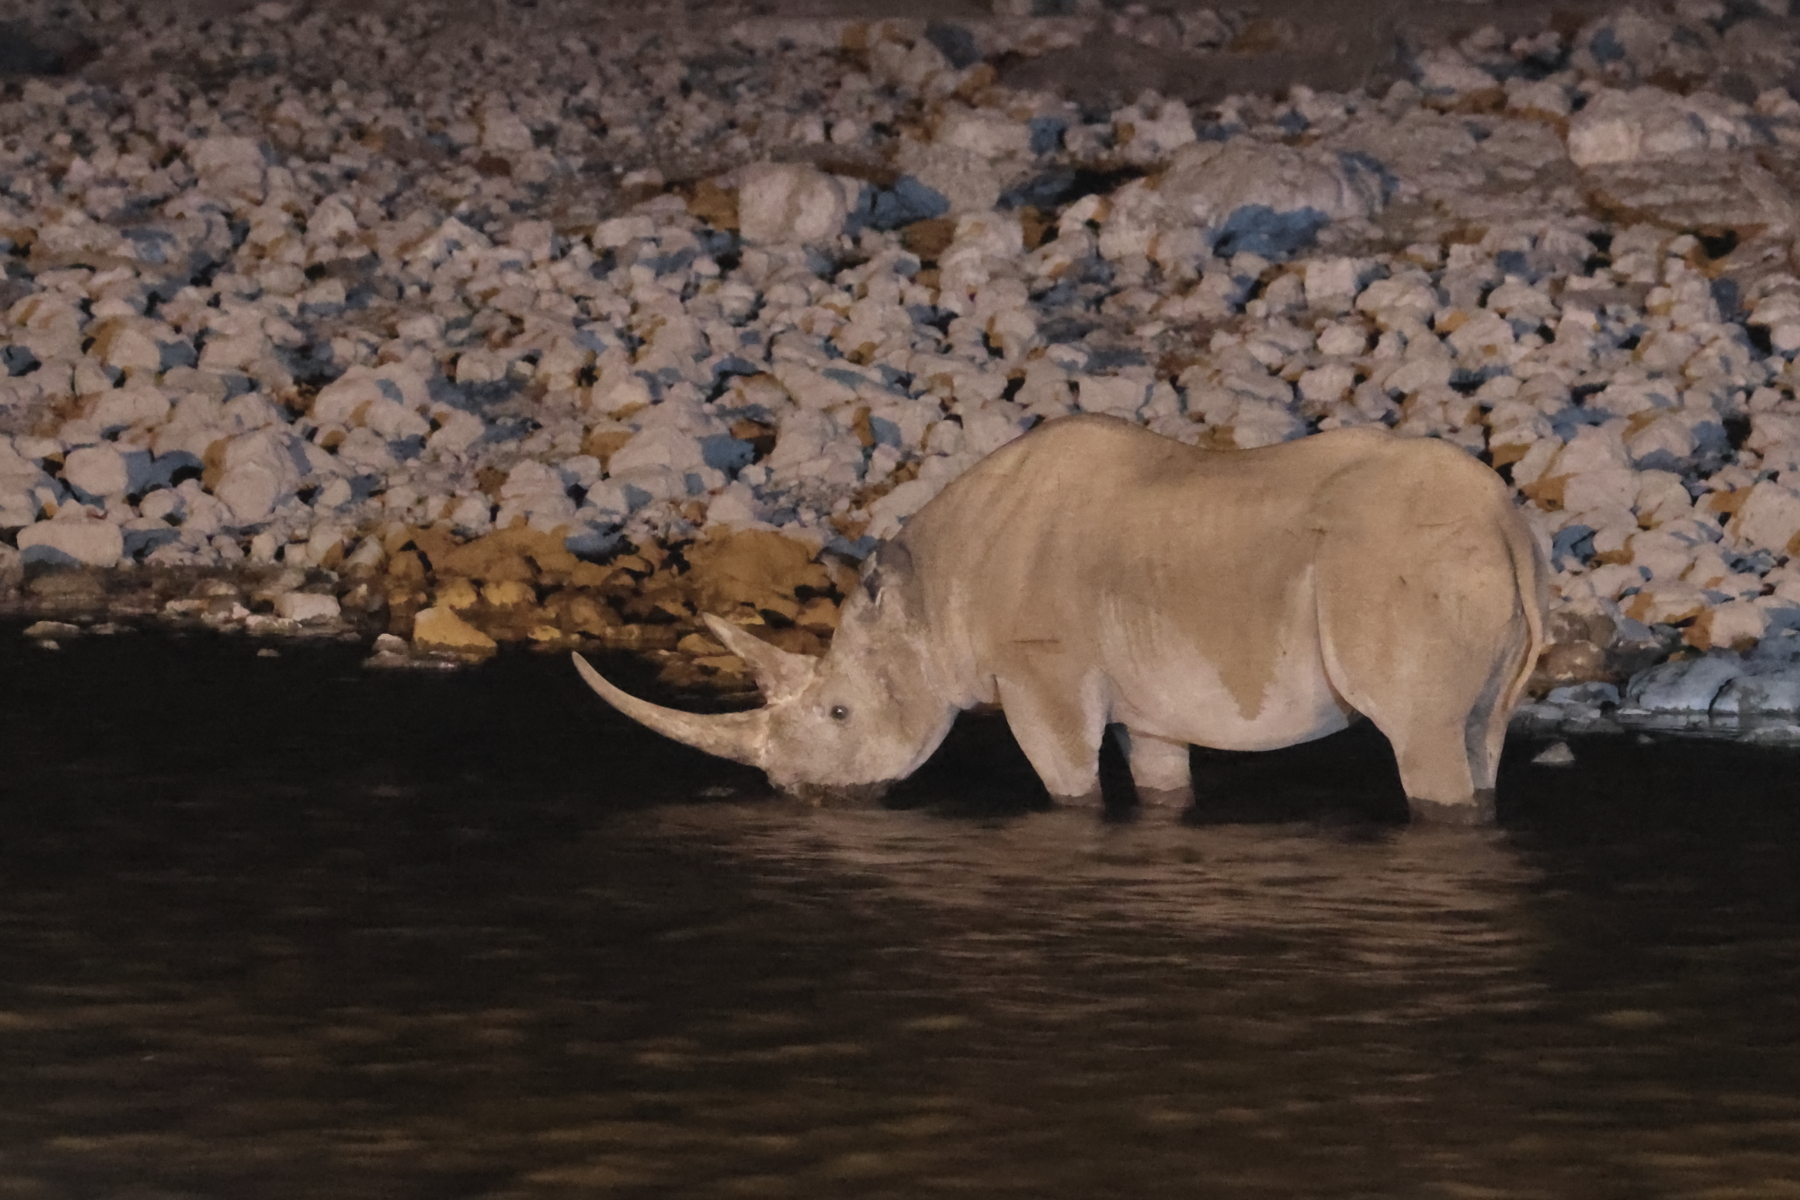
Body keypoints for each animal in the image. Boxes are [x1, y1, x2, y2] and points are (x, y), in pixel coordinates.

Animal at [573, 413, 1548, 824]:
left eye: (841, 712)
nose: (797, 795)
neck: (930, 602)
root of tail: (1504, 520)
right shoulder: (1151, 703)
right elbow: (1160, 779)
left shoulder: (1042, 677)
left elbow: (1066, 780)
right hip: (1476, 566)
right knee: (1481, 733)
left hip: (1401, 568)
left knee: (1420, 731)